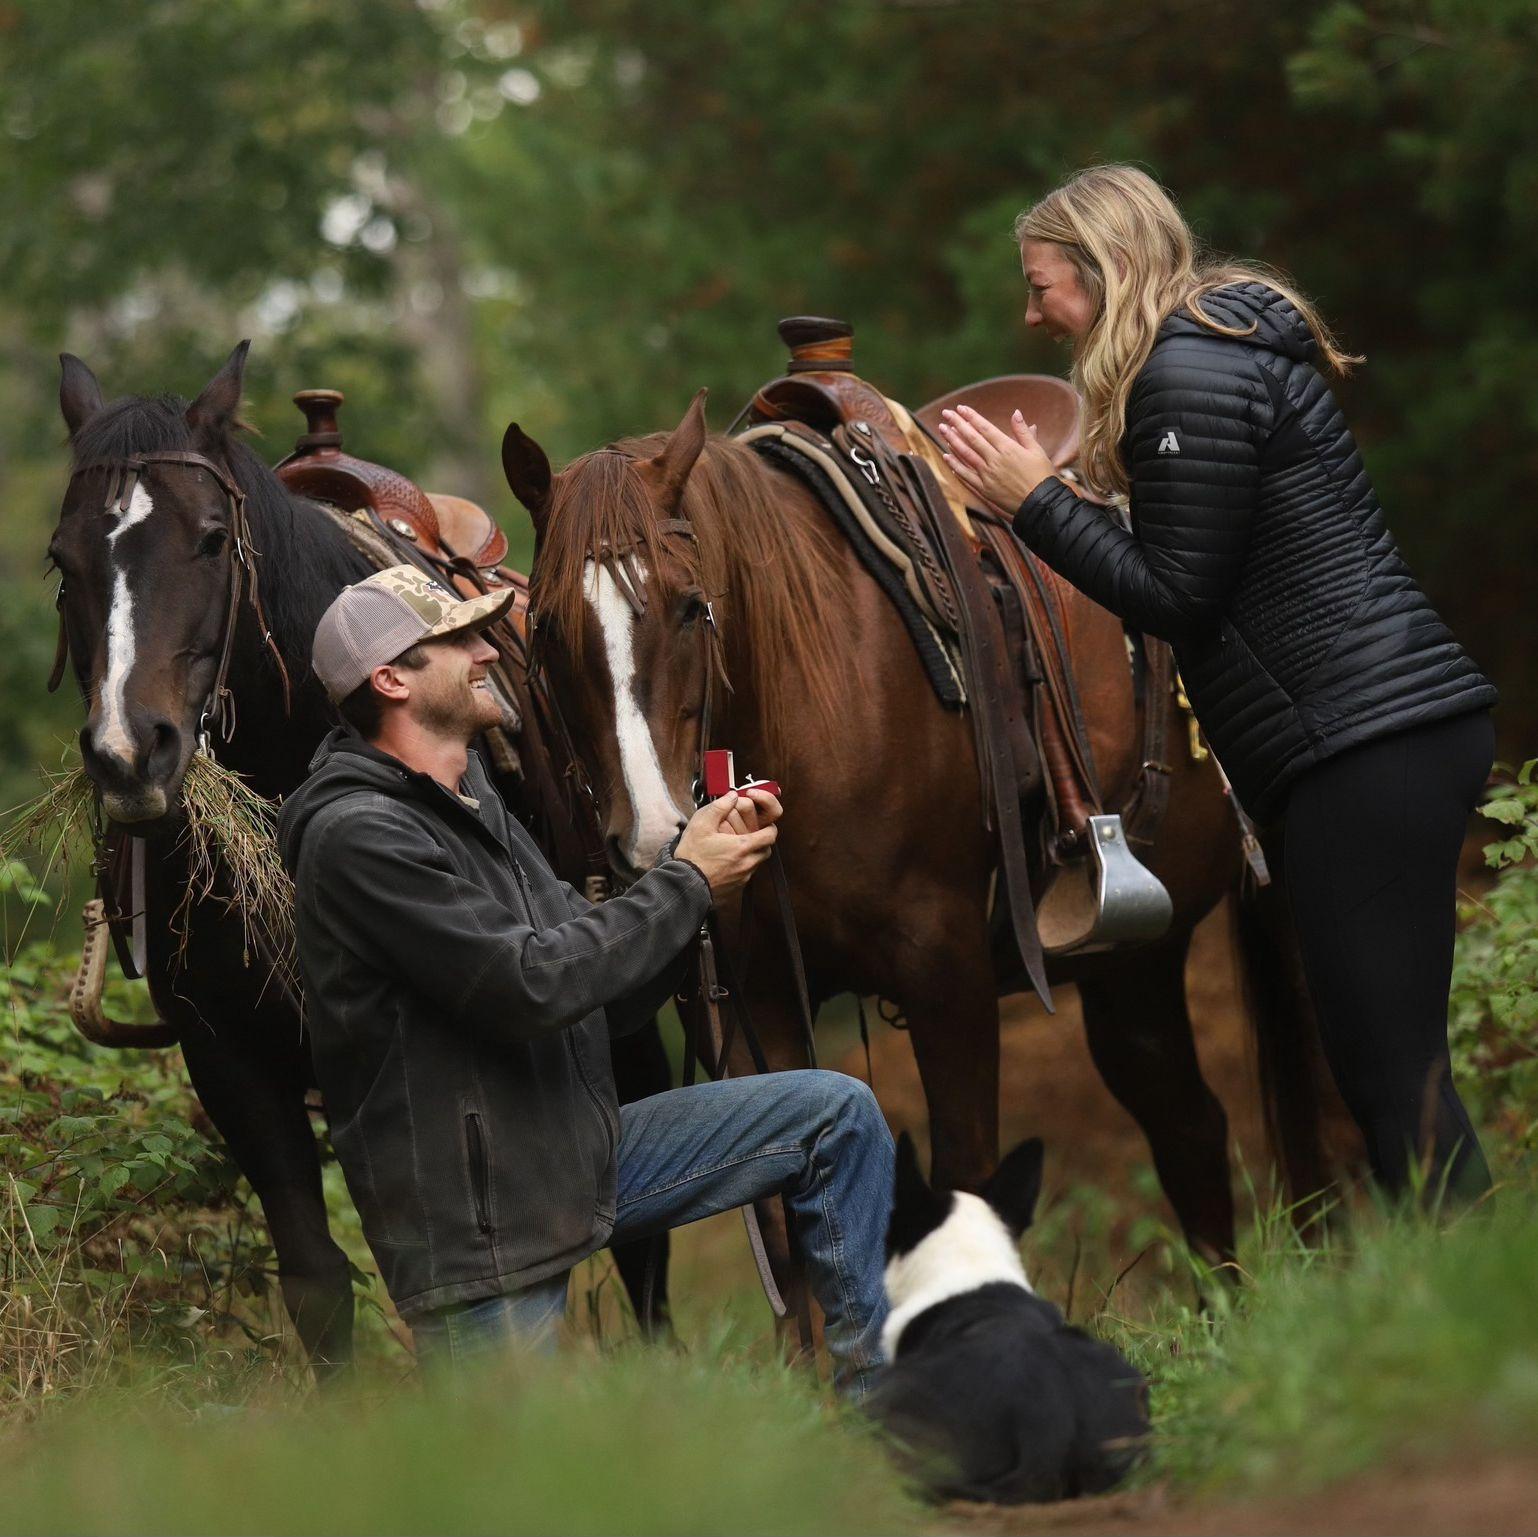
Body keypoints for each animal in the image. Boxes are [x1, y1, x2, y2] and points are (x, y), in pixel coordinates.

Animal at [500, 391, 1331, 1271]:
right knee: (1189, 1127)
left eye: (692, 608)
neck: (814, 698)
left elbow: (963, 1179)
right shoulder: (750, 1004)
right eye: (545, 627)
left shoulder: (948, 975)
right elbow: (785, 1230)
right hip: (1130, 965)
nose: (653, 835)